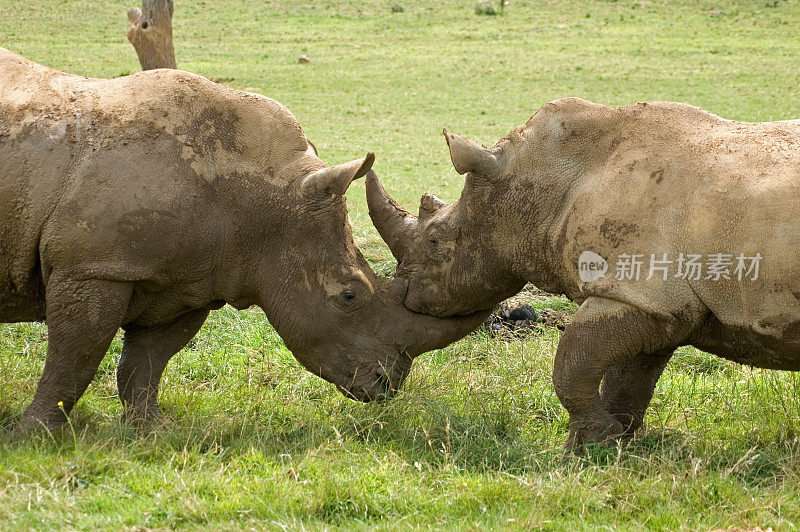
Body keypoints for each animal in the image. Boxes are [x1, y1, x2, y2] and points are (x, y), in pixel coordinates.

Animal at [0, 48, 484, 432]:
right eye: (348, 295)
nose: (388, 386)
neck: (261, 204)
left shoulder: (191, 278)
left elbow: (147, 361)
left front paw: (152, 431)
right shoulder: (95, 266)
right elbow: (76, 353)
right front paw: (37, 436)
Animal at [368, 97, 800, 446]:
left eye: (435, 241)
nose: (406, 291)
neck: (544, 181)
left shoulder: (637, 289)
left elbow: (572, 362)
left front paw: (588, 443)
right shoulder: (653, 302)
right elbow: (628, 377)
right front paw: (612, 443)